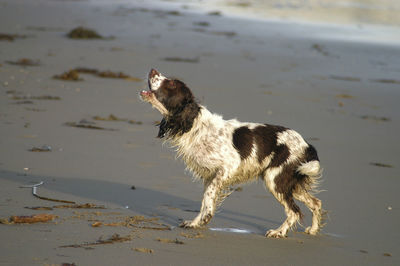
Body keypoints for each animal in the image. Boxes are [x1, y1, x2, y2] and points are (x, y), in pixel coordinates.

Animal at [139, 69, 324, 239]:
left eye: (171, 84)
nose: (153, 70)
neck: (195, 126)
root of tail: (307, 145)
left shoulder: (227, 166)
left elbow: (208, 197)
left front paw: (203, 220)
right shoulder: (210, 175)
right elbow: (205, 201)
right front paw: (195, 222)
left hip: (275, 180)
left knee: (294, 211)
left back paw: (279, 232)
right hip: (290, 183)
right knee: (316, 202)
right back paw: (313, 230)